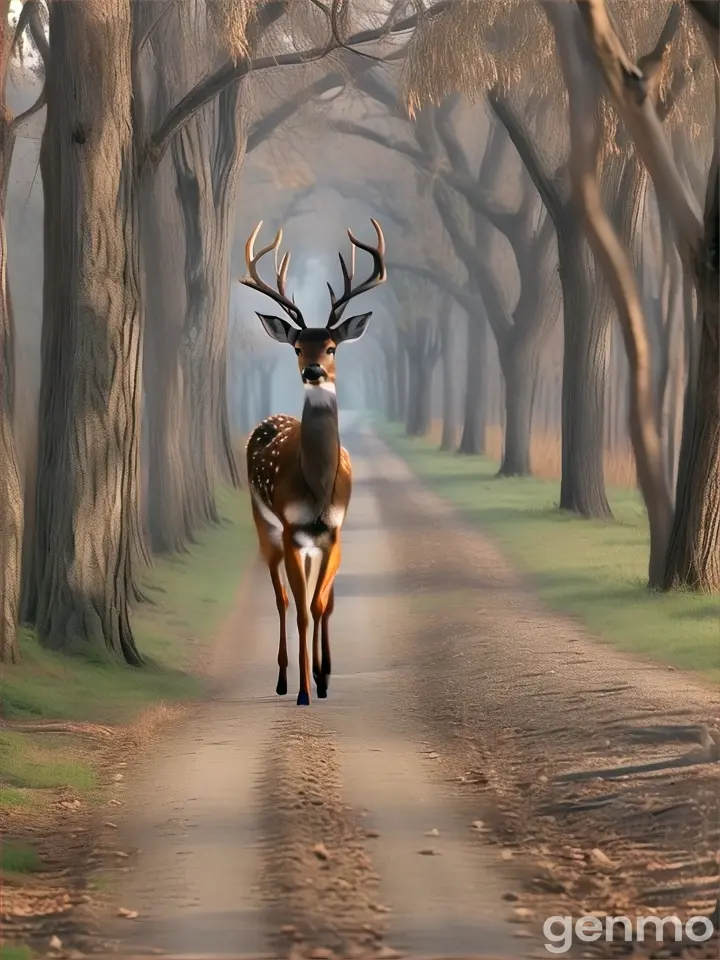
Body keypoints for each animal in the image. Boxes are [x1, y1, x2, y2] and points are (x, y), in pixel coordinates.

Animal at [240, 223, 388, 704]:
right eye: (296, 348)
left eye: (331, 346)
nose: (313, 372)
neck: (318, 489)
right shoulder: (292, 529)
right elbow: (302, 609)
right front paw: (305, 690)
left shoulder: (332, 533)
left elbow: (323, 604)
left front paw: (323, 678)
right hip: (266, 525)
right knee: (284, 600)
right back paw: (285, 679)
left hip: (312, 545)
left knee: (319, 599)